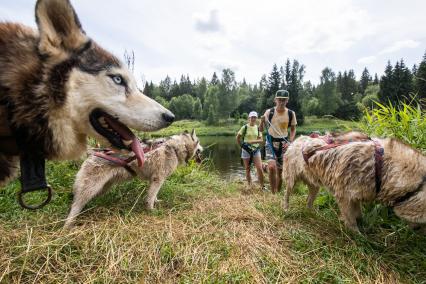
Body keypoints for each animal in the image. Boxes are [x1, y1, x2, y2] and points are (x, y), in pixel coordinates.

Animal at [64, 131, 202, 229]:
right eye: (199, 145)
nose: (202, 153)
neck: (176, 147)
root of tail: (93, 152)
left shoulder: (154, 180)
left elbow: (153, 195)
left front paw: (156, 201)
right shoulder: (158, 179)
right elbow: (150, 197)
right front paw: (151, 210)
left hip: (102, 187)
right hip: (90, 188)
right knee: (75, 205)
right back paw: (68, 225)